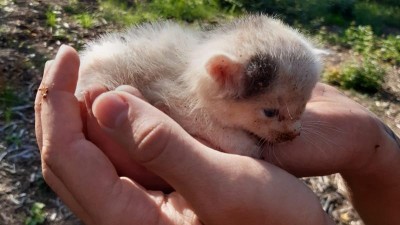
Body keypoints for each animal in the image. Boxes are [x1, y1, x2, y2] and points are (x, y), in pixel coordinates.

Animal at [76, 14, 322, 158]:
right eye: (270, 112)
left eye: (304, 105)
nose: (295, 134)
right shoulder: (171, 96)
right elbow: (206, 122)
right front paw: (247, 147)